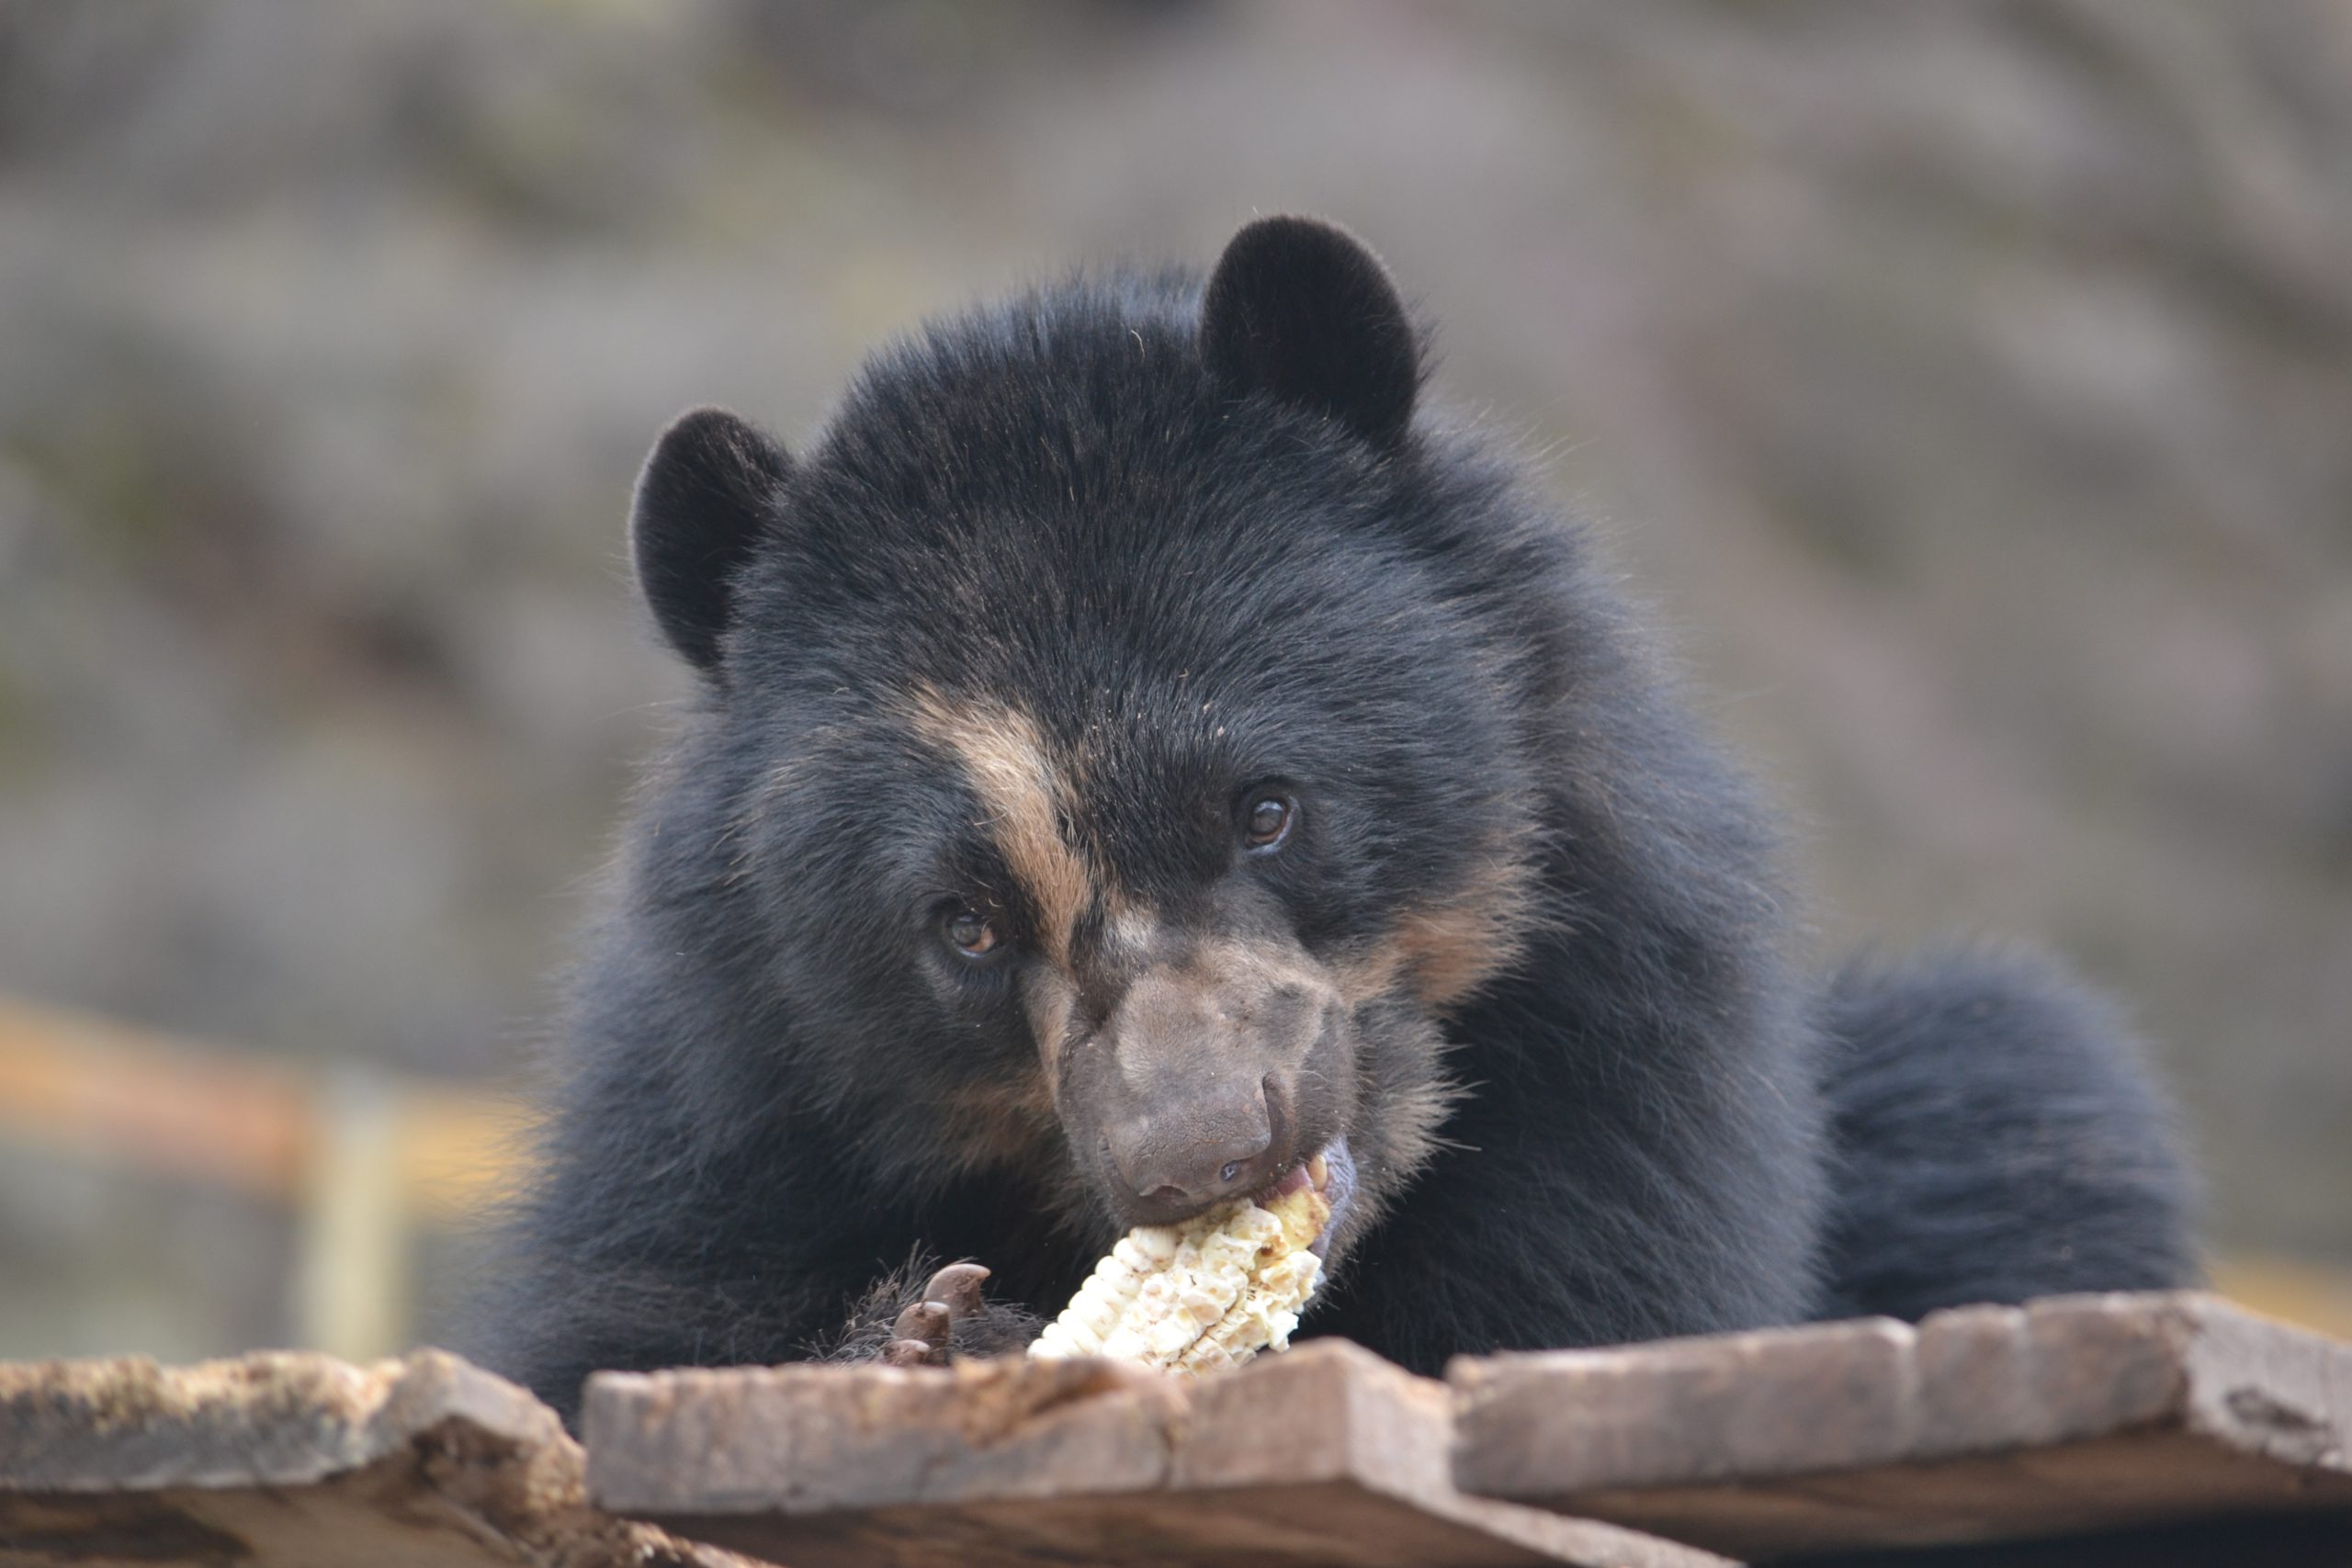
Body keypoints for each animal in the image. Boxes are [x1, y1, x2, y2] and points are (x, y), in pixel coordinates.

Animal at [476, 216, 2196, 1423]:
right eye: (961, 925)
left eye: (1267, 808)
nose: (1199, 1154)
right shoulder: (722, 1111)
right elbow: (610, 1335)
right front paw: (932, 1334)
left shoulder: (1627, 1040)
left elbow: (1597, 1293)